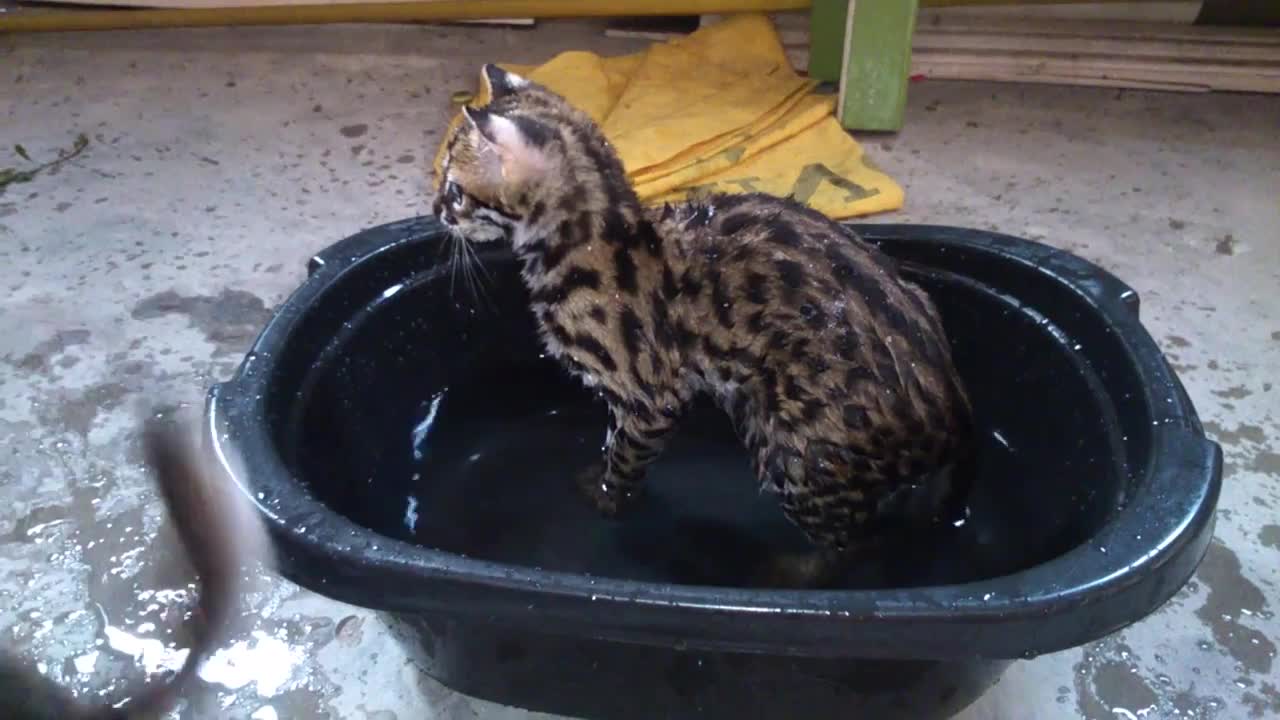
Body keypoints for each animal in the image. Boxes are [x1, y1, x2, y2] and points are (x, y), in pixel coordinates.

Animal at [435, 64, 972, 586]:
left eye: (455, 191)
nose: (436, 210)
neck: (591, 234)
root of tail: (952, 417)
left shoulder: (651, 397)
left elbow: (624, 459)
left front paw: (606, 497)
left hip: (795, 447)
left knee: (852, 543)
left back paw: (790, 571)